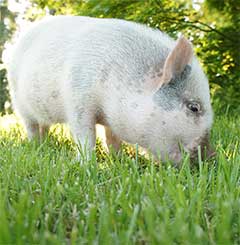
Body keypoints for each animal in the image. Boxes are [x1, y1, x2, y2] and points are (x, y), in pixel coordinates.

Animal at [7, 15, 214, 165]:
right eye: (194, 107)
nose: (212, 157)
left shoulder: (112, 118)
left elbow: (112, 138)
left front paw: (120, 160)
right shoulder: (77, 99)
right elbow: (86, 135)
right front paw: (85, 164)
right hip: (18, 102)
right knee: (31, 126)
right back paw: (36, 146)